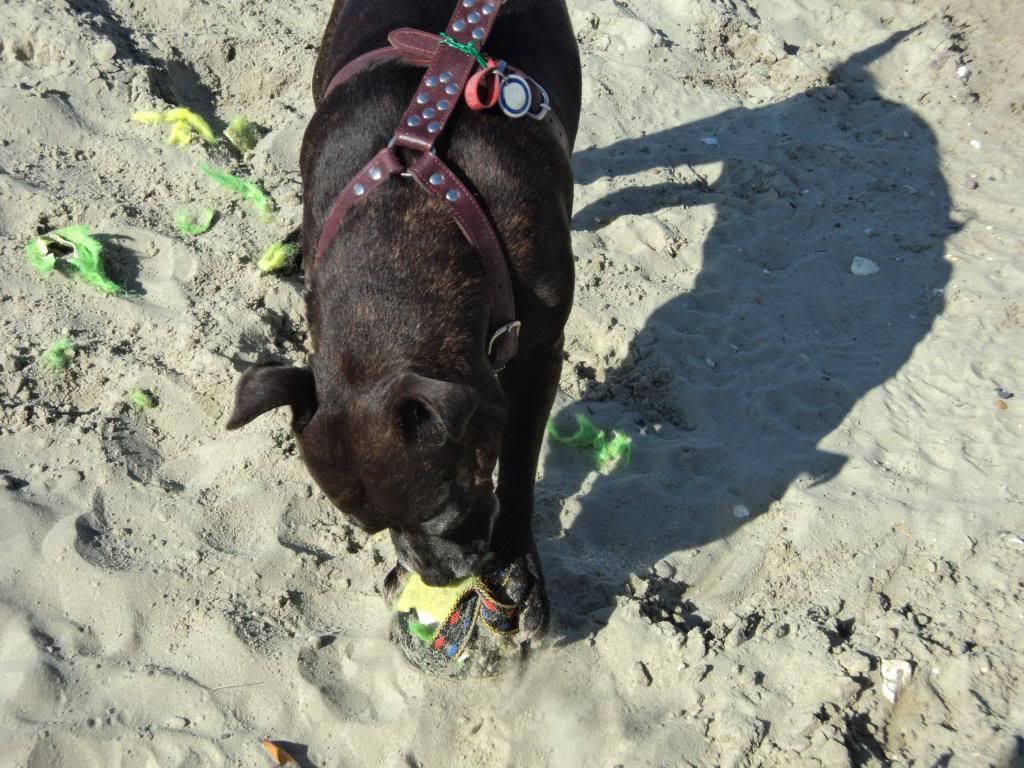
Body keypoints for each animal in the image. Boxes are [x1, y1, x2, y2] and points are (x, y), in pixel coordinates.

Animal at [227, 0, 585, 638]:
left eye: (445, 514)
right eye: (367, 529)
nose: (437, 578)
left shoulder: (542, 353)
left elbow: (520, 464)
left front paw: (522, 565)